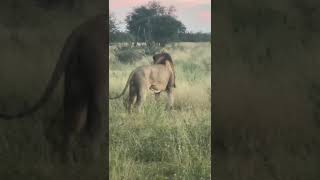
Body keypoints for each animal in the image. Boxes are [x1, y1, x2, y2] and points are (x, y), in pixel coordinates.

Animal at [0, 14, 107, 163]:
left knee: (73, 116)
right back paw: (94, 161)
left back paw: (69, 162)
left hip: (75, 74)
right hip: (98, 71)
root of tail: (81, 31)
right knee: (95, 115)